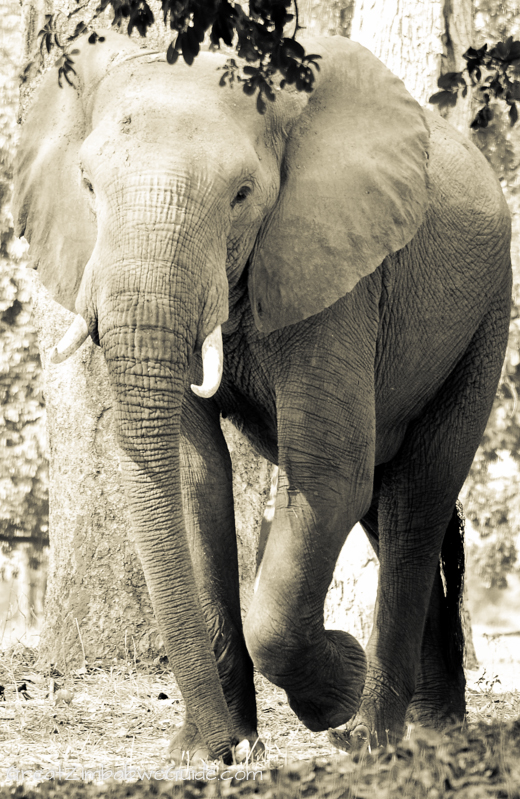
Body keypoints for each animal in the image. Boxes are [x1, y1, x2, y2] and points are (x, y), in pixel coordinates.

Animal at [15, 29, 512, 764]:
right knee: (394, 502)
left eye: (243, 195)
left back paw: (374, 739)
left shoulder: (337, 269)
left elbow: (328, 474)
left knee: (416, 499)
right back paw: (433, 730)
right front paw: (208, 752)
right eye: (87, 187)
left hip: (487, 314)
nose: (223, 748)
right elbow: (195, 477)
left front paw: (337, 686)